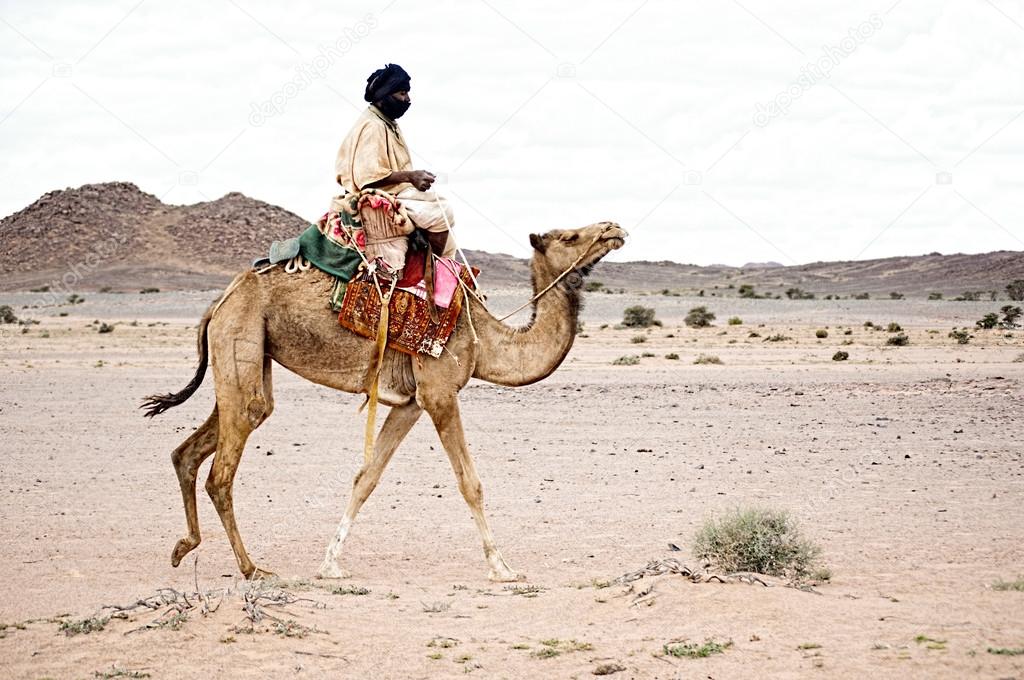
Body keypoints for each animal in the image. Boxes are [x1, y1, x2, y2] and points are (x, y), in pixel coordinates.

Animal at [142, 220, 622, 581]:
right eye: (569, 237)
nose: (614, 228)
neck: (483, 340)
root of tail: (220, 299)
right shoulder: (440, 392)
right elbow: (470, 483)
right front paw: (502, 568)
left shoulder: (410, 403)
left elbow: (366, 478)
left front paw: (330, 563)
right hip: (240, 338)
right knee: (222, 471)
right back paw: (251, 568)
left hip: (250, 356)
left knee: (192, 449)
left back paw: (184, 547)